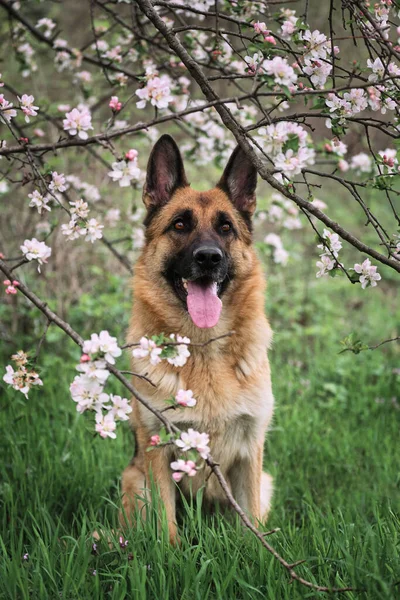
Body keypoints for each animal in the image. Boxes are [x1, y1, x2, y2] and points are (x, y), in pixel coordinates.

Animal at [120, 135, 274, 544]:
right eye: (179, 225)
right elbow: (167, 525)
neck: (203, 346)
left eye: (226, 228)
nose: (208, 258)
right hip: (133, 479)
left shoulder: (250, 453)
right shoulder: (158, 453)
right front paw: (171, 554)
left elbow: (252, 523)